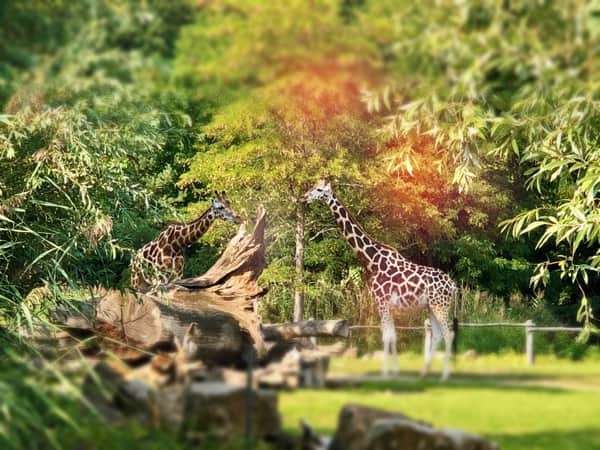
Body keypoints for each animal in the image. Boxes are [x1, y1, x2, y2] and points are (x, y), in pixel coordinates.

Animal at [302, 179, 458, 380]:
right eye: (313, 186)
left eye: (319, 189)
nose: (304, 197)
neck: (372, 260)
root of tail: (453, 285)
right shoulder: (386, 304)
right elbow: (392, 335)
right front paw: (394, 372)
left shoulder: (381, 301)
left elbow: (386, 336)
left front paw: (385, 374)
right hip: (431, 306)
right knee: (438, 335)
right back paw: (425, 372)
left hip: (441, 305)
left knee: (448, 335)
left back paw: (445, 376)